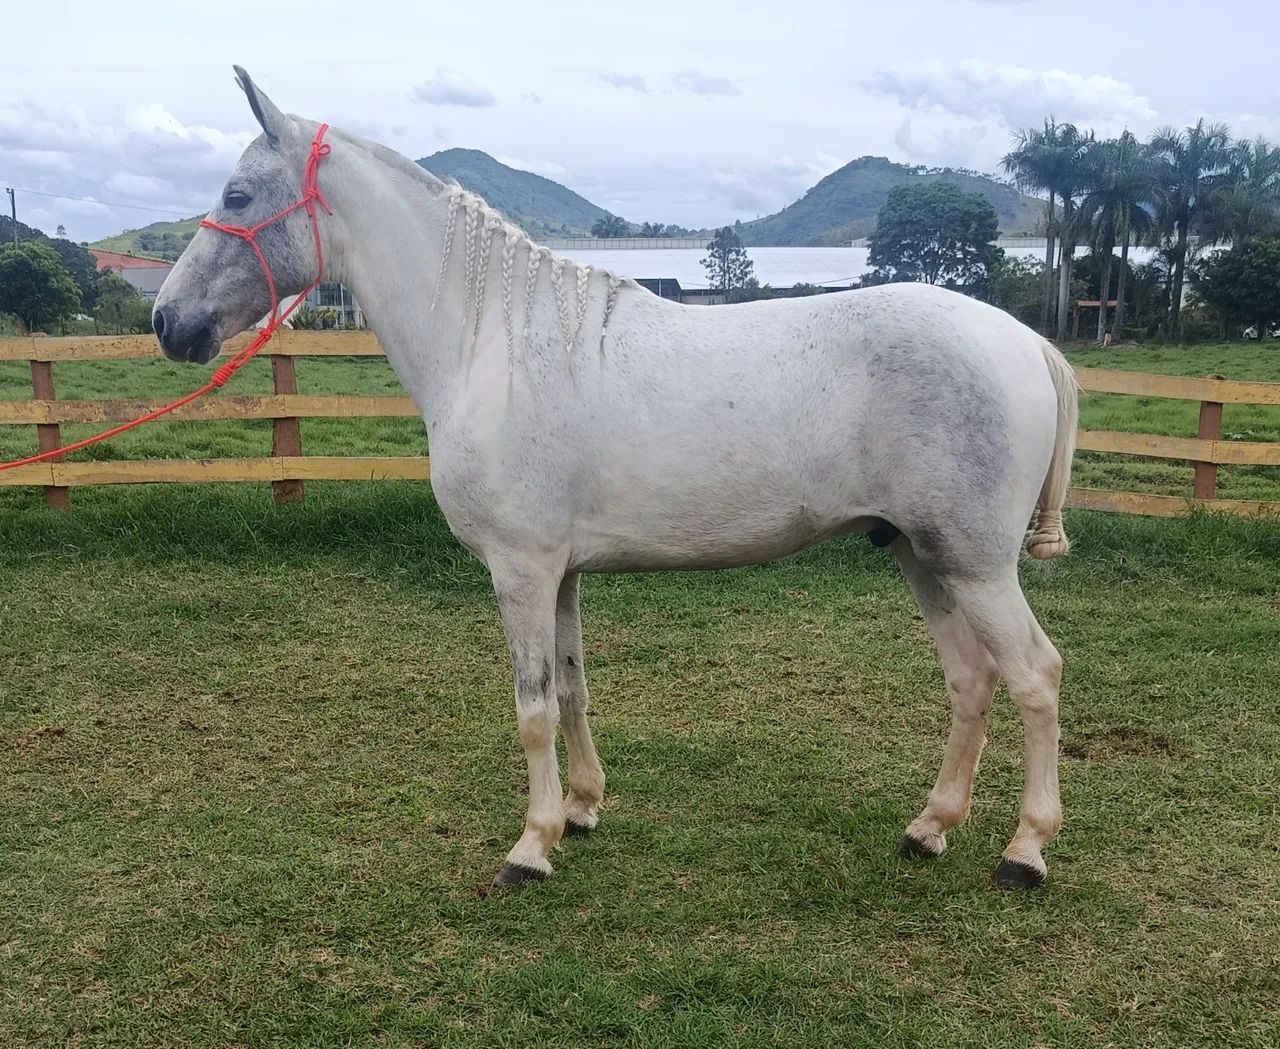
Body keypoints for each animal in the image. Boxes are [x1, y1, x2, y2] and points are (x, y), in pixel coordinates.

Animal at [152, 68, 1078, 890]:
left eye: (238, 195)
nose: (168, 321)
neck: (493, 340)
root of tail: (1029, 343)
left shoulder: (520, 570)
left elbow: (530, 707)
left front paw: (530, 845)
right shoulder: (560, 573)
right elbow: (571, 688)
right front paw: (583, 809)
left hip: (975, 565)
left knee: (1034, 675)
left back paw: (1024, 851)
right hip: (923, 555)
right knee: (971, 679)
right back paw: (930, 827)